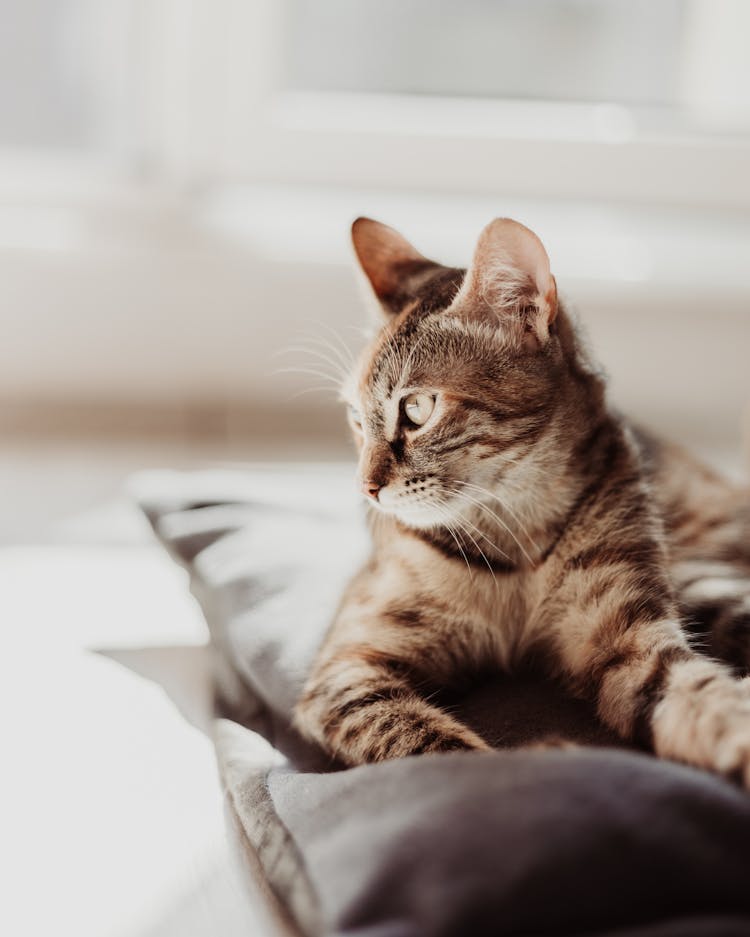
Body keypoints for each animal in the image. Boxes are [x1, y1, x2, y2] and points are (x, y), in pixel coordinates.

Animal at [292, 216, 750, 780]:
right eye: (357, 420)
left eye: (417, 409)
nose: (367, 488)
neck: (514, 534)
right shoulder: (348, 668)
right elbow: (431, 746)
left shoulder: (630, 642)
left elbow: (698, 694)